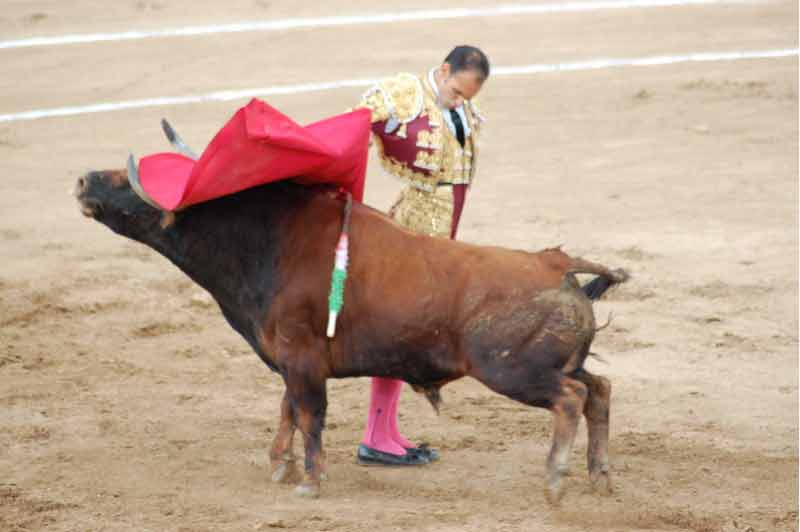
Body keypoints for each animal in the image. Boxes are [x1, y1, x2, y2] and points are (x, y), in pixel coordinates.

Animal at [75, 166, 628, 502]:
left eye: (132, 178)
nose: (83, 179)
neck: (263, 240)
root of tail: (554, 263)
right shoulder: (291, 358)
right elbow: (288, 409)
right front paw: (282, 466)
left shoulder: (301, 358)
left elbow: (309, 413)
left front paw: (311, 482)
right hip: (555, 362)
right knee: (599, 389)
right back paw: (599, 477)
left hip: (513, 370)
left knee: (572, 397)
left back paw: (555, 480)